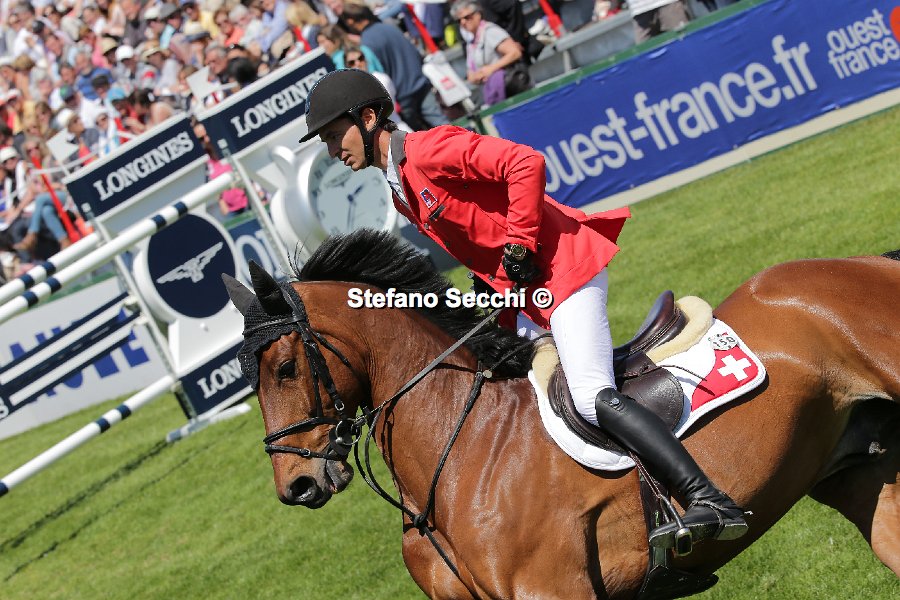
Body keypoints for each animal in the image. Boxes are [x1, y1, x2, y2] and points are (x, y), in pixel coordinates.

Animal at [225, 230, 900, 599]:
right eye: (246, 377)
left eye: (284, 368)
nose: (297, 484)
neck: (455, 451)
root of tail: (869, 262)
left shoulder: (555, 590)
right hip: (863, 479)